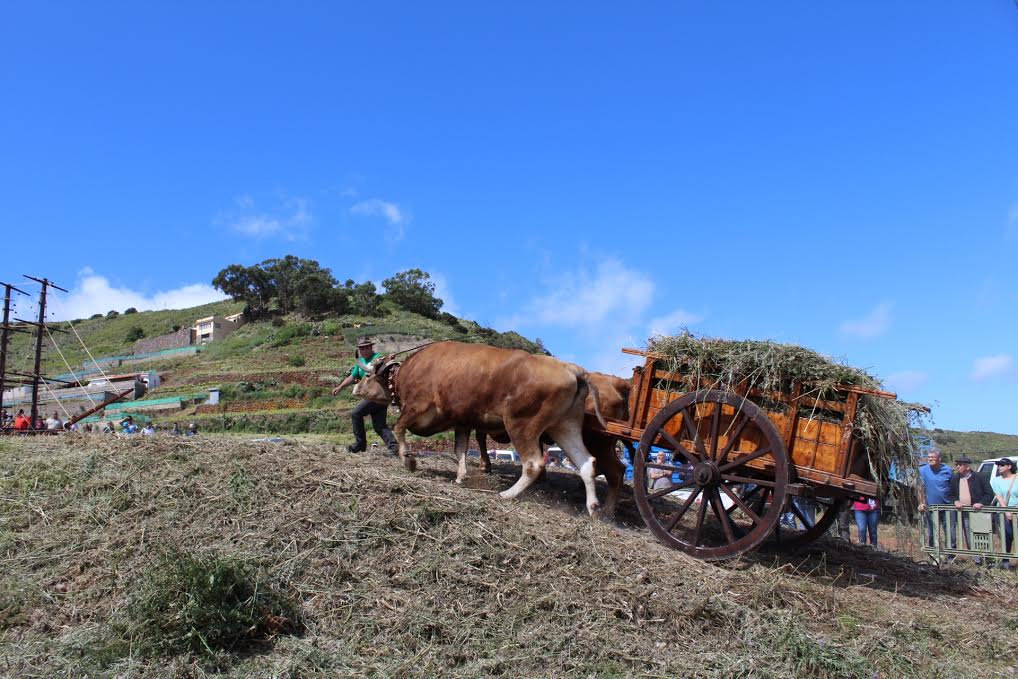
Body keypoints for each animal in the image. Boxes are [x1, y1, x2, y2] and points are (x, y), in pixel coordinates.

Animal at [351, 341, 609, 515]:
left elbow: (399, 427)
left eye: (367, 377)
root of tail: (572, 369)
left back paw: (507, 494)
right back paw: (593, 507)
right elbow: (460, 450)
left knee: (533, 464)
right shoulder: (463, 422)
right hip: (564, 426)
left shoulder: (418, 408)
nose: (354, 387)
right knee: (587, 463)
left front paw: (409, 460)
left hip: (521, 425)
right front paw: (461, 476)